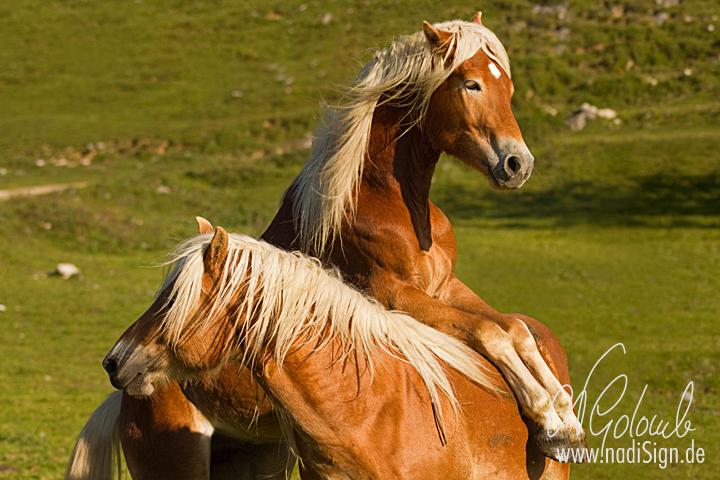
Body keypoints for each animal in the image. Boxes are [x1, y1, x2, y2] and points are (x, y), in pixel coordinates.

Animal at [66, 14, 584, 480]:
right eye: (471, 84)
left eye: (509, 89)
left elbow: (513, 328)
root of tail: (121, 396)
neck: (385, 200)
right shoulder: (396, 297)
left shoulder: (445, 288)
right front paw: (547, 414)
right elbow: (491, 333)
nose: (517, 164)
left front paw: (562, 418)